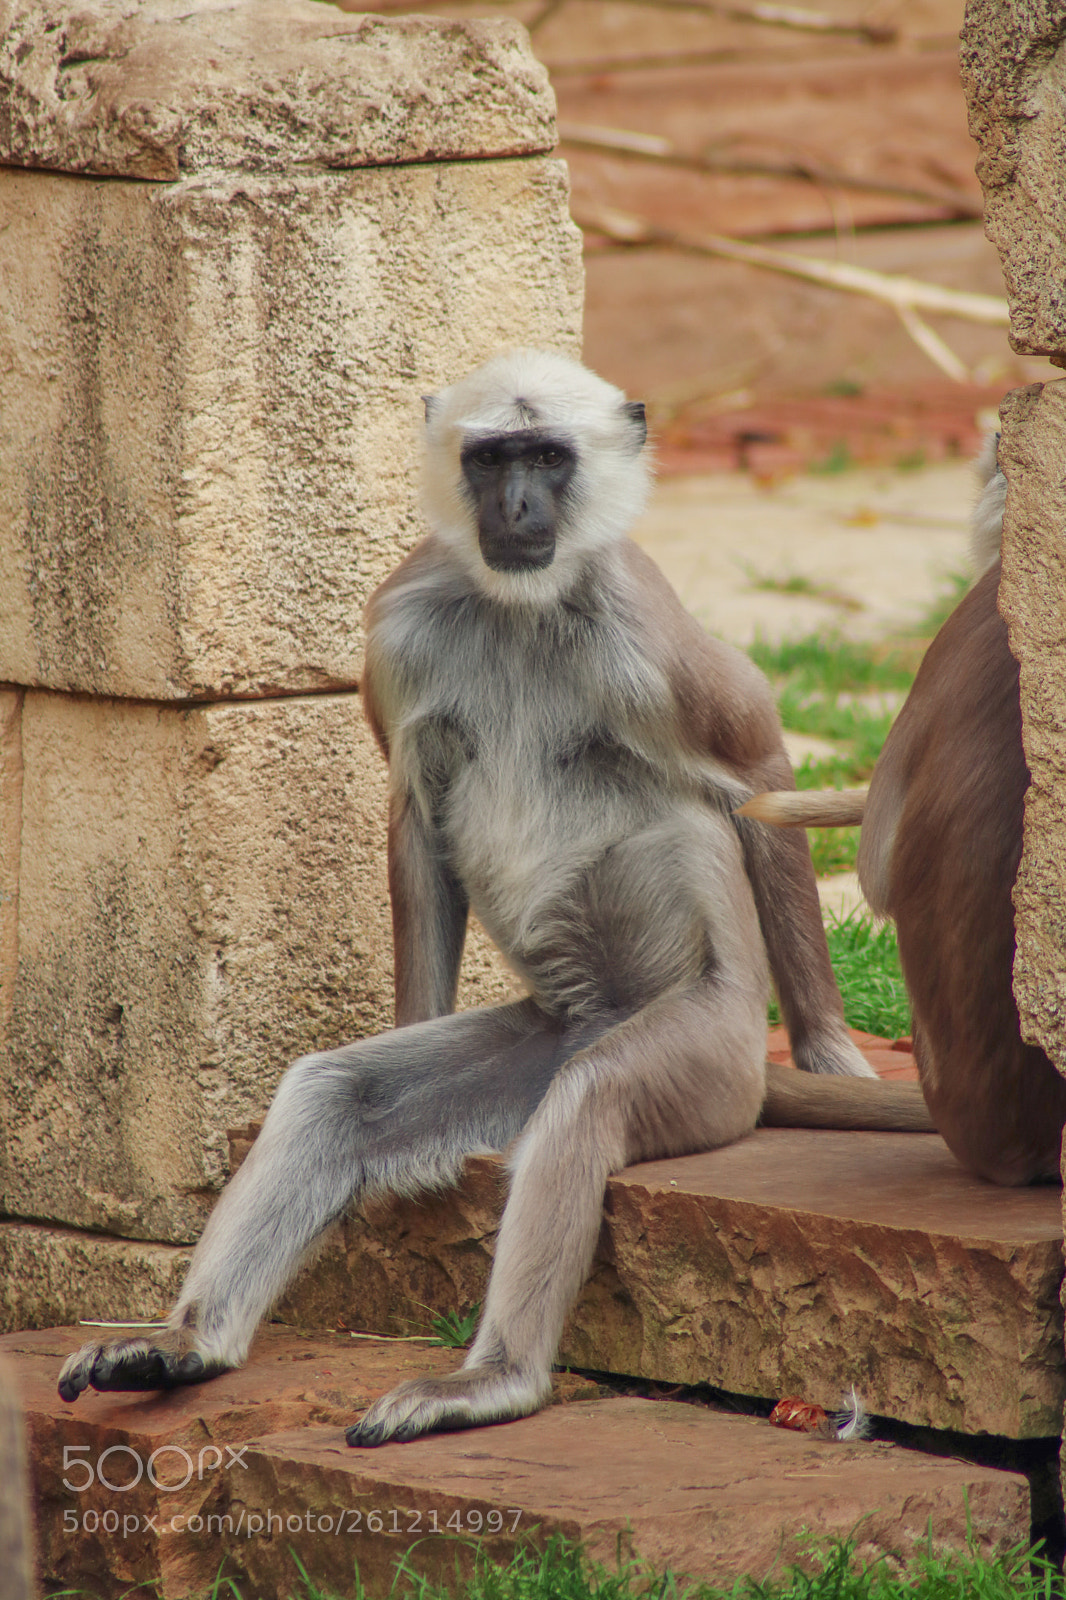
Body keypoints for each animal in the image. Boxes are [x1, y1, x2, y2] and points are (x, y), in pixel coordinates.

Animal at [57, 350, 932, 1445]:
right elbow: (416, 814)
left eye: (548, 457)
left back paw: (497, 1380)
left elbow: (758, 771)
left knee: (587, 1101)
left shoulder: (642, 626)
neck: (523, 605)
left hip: (710, 1050)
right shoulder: (399, 621)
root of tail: (601, 1016)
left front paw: (831, 1047)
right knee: (336, 1091)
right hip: (545, 1033)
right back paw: (188, 1344)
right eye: (492, 458)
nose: (516, 504)